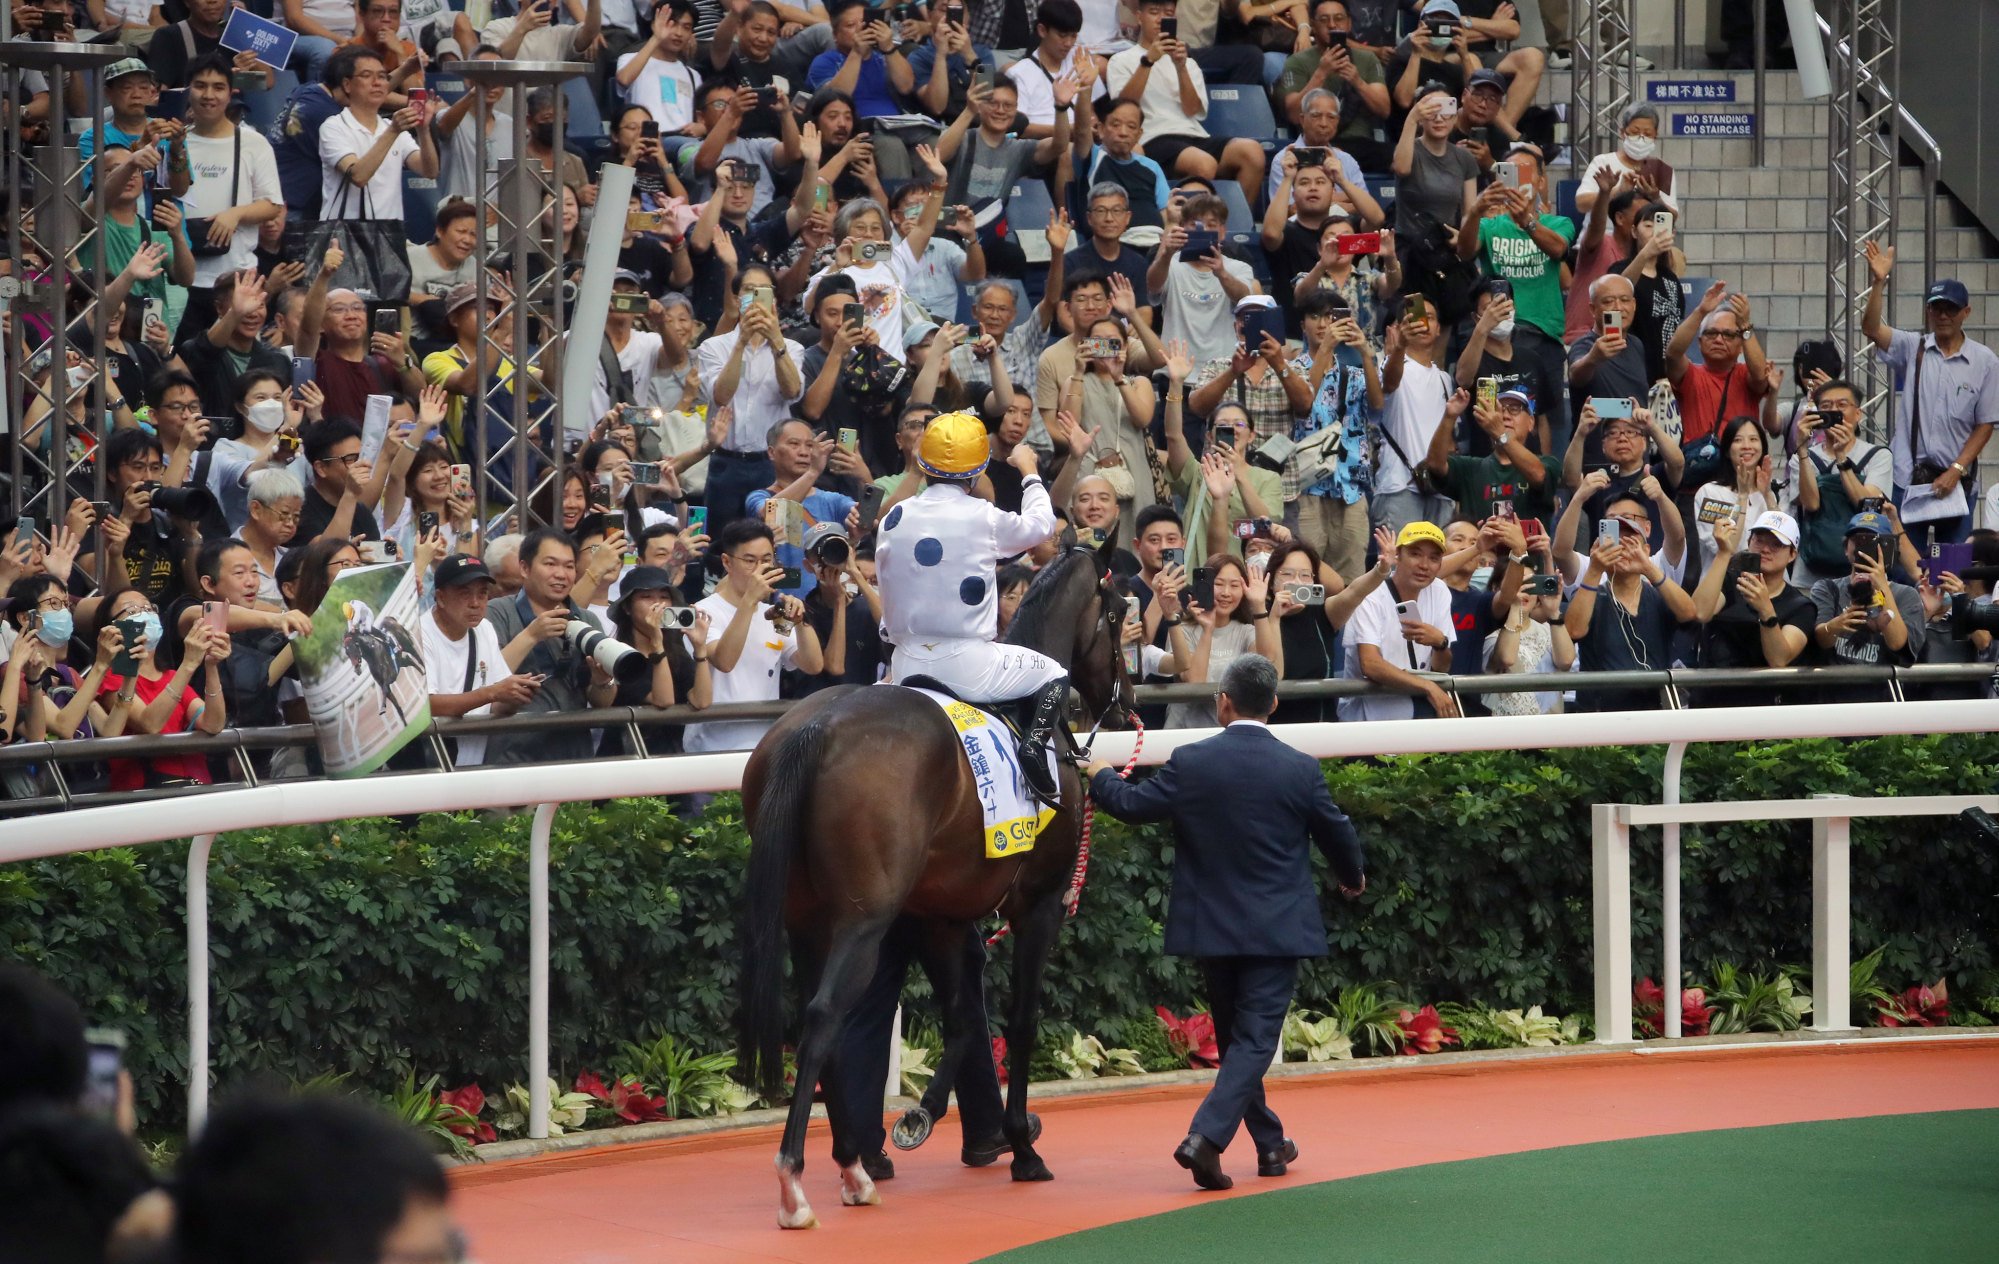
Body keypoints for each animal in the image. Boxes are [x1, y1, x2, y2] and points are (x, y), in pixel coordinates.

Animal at [739, 532, 1143, 1224]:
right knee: (824, 1016)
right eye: (1119, 611)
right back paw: (797, 1181)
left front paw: (926, 1117)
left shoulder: (941, 915)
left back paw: (854, 1165)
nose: (1126, 701)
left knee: (826, 1026)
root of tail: (815, 727)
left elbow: (960, 1017)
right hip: (863, 919)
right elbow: (1019, 1018)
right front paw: (1021, 1145)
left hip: (807, 919)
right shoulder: (1039, 905)